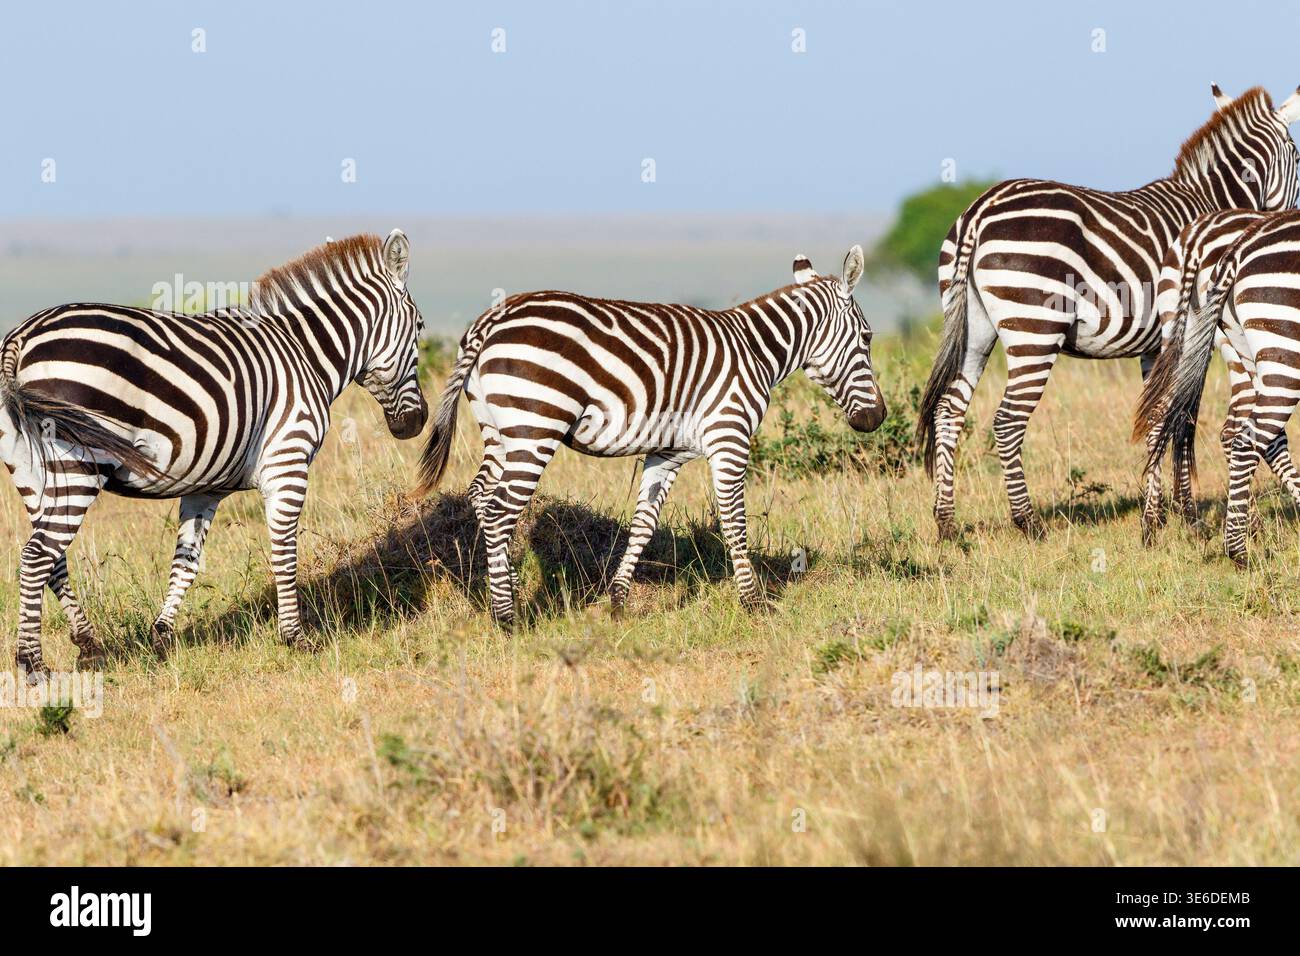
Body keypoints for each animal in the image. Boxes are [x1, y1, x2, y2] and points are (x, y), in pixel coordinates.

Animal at [0, 230, 428, 681]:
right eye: (419, 327)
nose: (416, 423)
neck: (305, 353)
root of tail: (21, 337)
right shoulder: (288, 461)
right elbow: (284, 553)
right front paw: (294, 638)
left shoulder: (204, 486)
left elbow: (186, 563)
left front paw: (162, 637)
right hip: (77, 465)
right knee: (36, 556)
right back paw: (32, 663)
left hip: (32, 472)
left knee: (53, 559)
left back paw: (88, 644)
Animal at [415, 247, 885, 627]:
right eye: (867, 337)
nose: (877, 417)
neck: (755, 350)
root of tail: (492, 318)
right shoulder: (729, 437)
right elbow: (734, 523)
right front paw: (752, 603)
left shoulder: (667, 453)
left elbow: (643, 524)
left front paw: (618, 601)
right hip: (535, 427)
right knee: (499, 511)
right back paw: (507, 617)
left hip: (500, 431)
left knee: (480, 497)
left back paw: (507, 586)